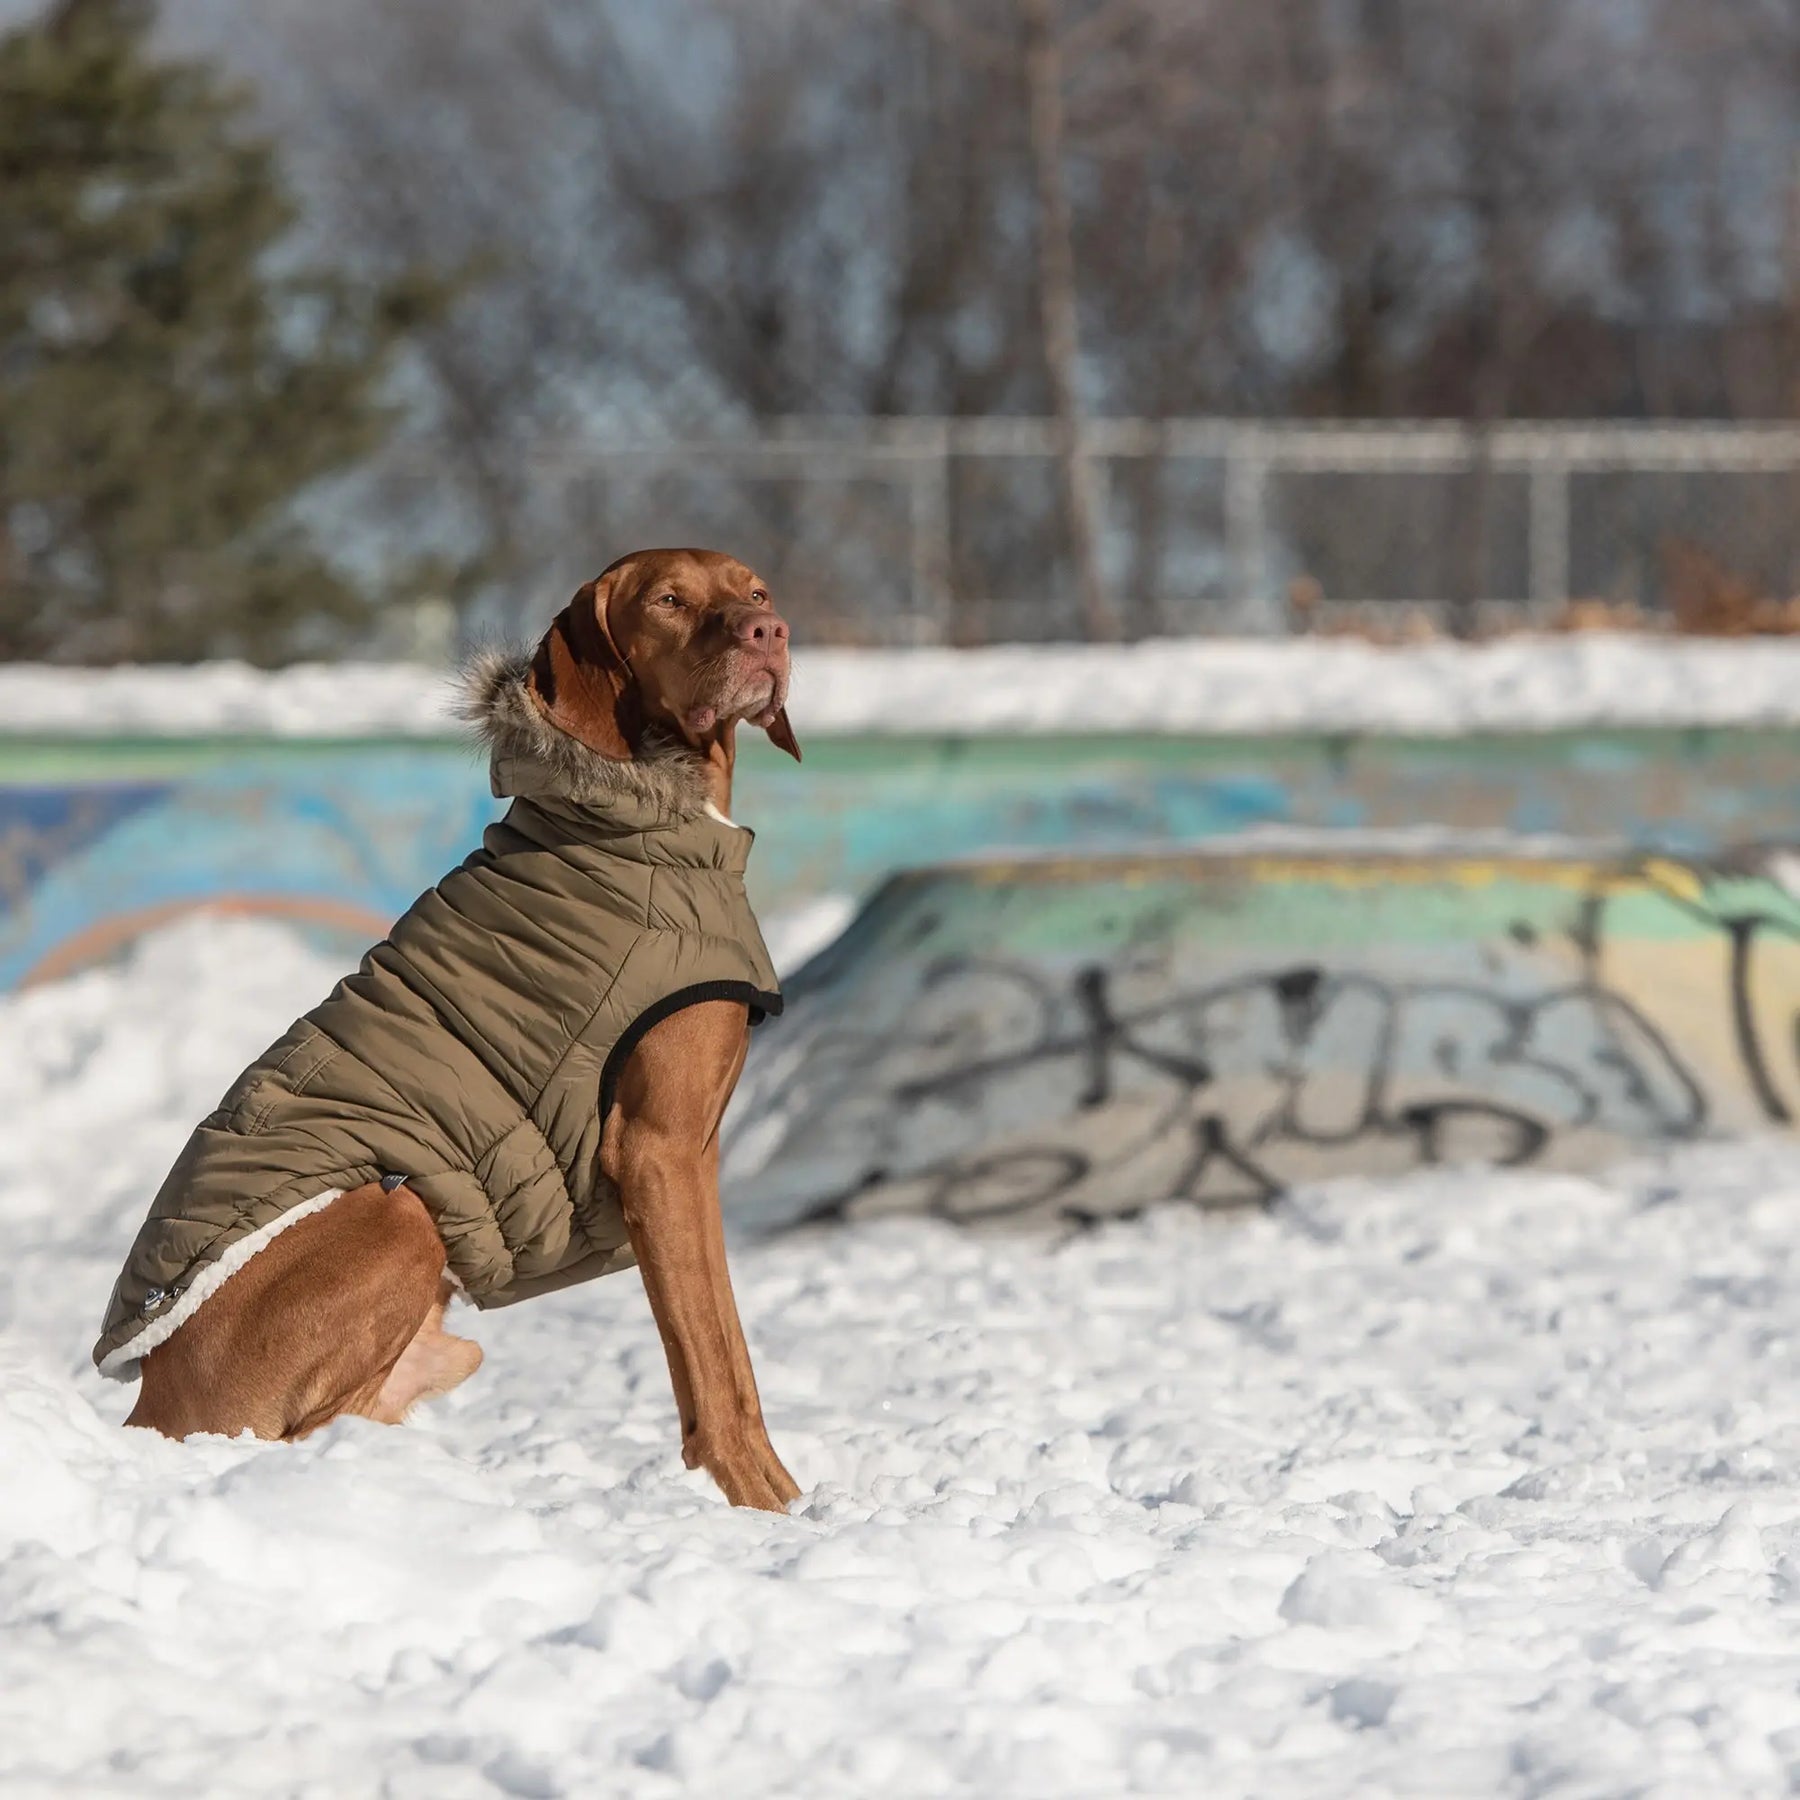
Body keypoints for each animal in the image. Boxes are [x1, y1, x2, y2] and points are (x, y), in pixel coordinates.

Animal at [117, 554, 802, 1512]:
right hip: (398, 1213)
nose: (767, 633)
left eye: (757, 592)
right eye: (668, 599)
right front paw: (770, 1508)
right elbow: (718, 1360)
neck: (638, 817)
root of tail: (150, 1397)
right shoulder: (661, 1154)